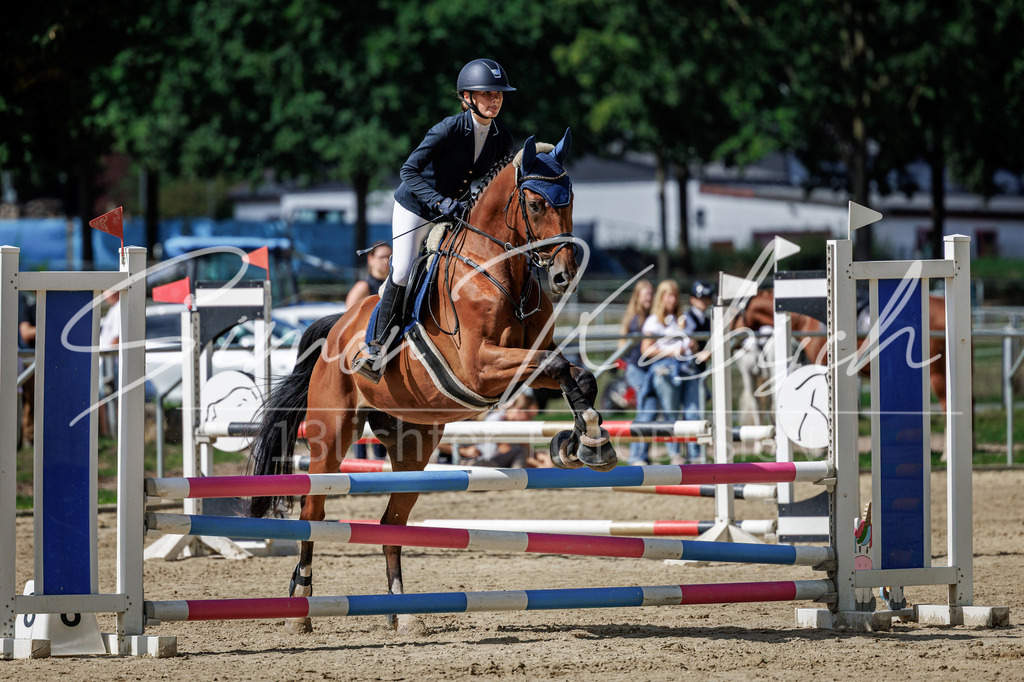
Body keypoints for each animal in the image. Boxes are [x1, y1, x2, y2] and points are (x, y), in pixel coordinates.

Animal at [246, 129, 617, 636]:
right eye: (536, 203)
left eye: (571, 199)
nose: (563, 276)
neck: (498, 269)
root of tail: (336, 327)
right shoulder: (481, 367)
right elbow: (561, 370)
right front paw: (584, 441)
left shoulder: (530, 358)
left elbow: (577, 374)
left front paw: (587, 442)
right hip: (332, 434)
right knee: (312, 512)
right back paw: (301, 604)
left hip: (414, 443)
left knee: (391, 522)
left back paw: (401, 613)